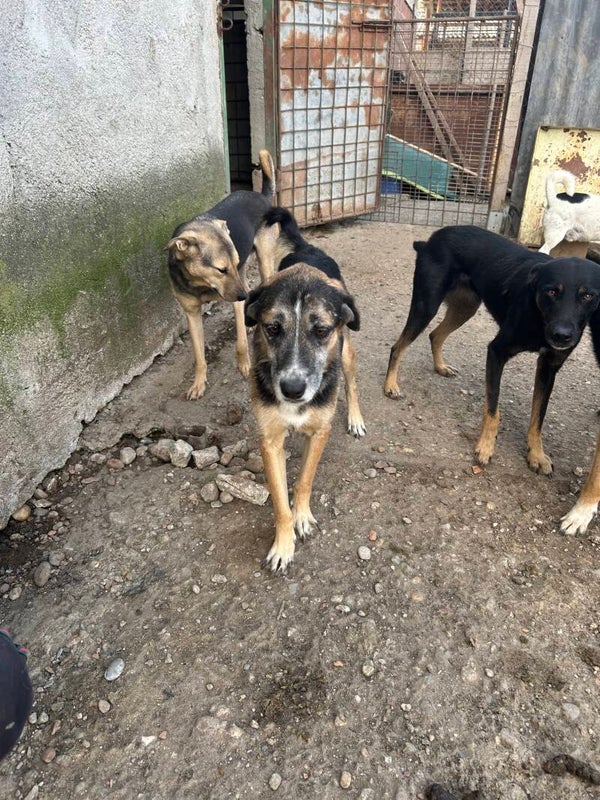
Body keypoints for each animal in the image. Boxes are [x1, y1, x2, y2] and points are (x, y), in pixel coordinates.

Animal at [166, 150, 277, 399]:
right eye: (221, 269)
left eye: (230, 265)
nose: (243, 296)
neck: (201, 284)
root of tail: (261, 196)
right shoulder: (192, 313)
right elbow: (199, 355)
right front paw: (198, 383)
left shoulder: (235, 296)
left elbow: (241, 343)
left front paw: (244, 365)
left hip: (263, 262)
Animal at [245, 211, 364, 571]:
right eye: (272, 328)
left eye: (322, 330)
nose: (293, 390)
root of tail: (308, 248)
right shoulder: (269, 439)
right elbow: (279, 500)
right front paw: (283, 544)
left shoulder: (320, 431)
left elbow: (304, 481)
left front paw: (302, 517)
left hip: (347, 353)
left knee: (352, 384)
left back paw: (356, 418)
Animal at [383, 225, 600, 474]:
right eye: (551, 292)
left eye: (588, 295)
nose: (562, 336)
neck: (538, 316)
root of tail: (431, 239)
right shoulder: (497, 352)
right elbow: (493, 410)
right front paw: (485, 447)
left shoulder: (549, 367)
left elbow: (538, 418)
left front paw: (536, 454)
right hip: (426, 305)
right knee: (398, 347)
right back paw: (390, 385)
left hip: (465, 308)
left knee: (435, 335)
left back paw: (440, 367)